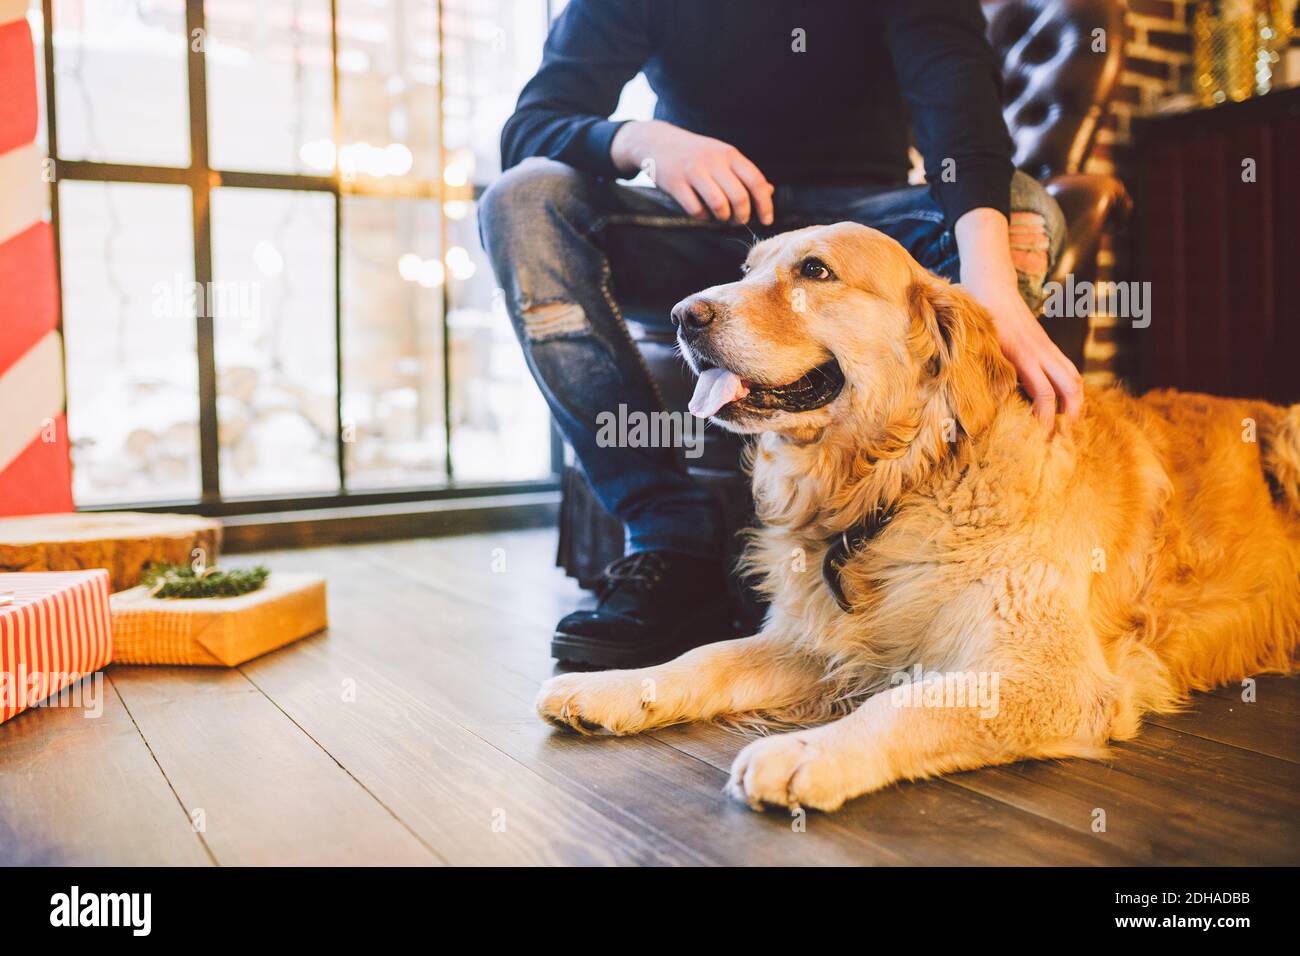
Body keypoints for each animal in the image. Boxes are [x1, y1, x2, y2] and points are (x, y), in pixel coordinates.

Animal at [535, 223, 1300, 816]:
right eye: (746, 272)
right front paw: (612, 687)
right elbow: (708, 655)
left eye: (815, 270)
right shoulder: (822, 641)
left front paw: (808, 750)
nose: (682, 315)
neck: (902, 482)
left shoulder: (1048, 674)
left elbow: (908, 704)